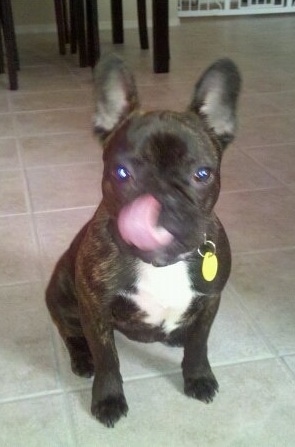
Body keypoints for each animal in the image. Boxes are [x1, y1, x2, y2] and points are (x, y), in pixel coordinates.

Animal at [45, 54, 240, 428]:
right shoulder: (95, 308)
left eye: (202, 174)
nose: (161, 199)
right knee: (71, 333)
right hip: (62, 296)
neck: (162, 264)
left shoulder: (210, 300)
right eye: (122, 173)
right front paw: (108, 399)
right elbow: (108, 359)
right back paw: (82, 359)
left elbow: (199, 345)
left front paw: (198, 378)